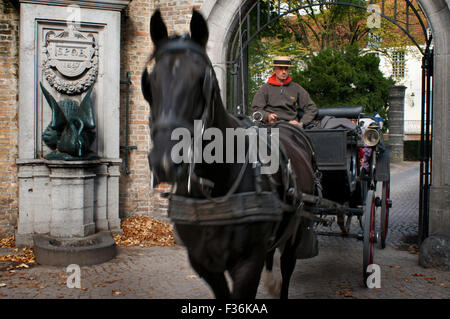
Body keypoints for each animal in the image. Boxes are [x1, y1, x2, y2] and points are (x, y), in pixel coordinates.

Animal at [142, 10, 316, 300]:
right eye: (149, 83)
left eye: (202, 80)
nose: (165, 162)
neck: (214, 186)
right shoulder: (203, 263)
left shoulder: (247, 264)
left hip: (297, 230)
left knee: (288, 266)